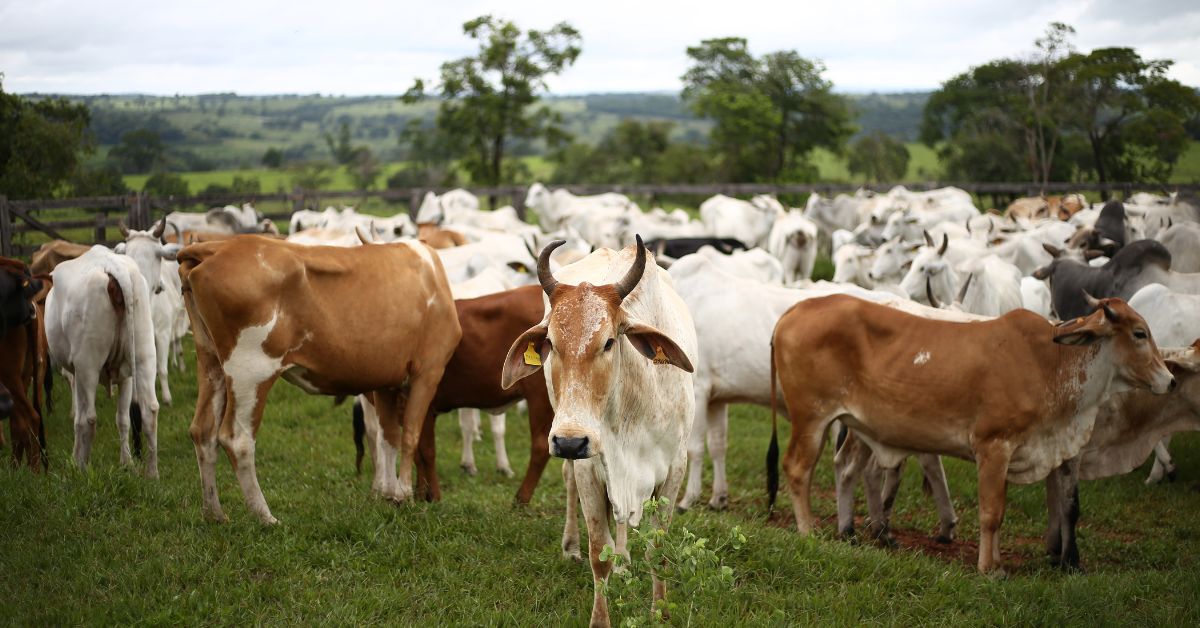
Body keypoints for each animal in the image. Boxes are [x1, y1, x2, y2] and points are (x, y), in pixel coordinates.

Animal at [44, 246, 159, 477]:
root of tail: (112, 266)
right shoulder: (126, 377)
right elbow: (123, 419)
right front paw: (127, 463)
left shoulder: (76, 373)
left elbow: (78, 417)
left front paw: (75, 459)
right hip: (144, 355)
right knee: (149, 410)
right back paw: (152, 474)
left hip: (87, 364)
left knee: (88, 418)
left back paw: (81, 470)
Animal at [176, 232, 458, 523]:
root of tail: (219, 247)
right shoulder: (429, 370)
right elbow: (410, 435)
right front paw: (405, 495)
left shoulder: (386, 381)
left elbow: (388, 437)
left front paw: (391, 495)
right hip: (250, 371)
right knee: (238, 439)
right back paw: (266, 517)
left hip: (210, 361)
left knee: (203, 431)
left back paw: (214, 514)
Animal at [768, 292, 1171, 571]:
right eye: (1139, 333)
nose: (1168, 379)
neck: (1051, 364)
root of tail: (793, 312)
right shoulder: (994, 446)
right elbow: (991, 513)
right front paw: (988, 568)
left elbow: (1008, 511)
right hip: (811, 418)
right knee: (797, 469)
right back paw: (808, 532)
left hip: (846, 424)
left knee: (840, 468)